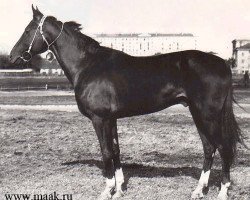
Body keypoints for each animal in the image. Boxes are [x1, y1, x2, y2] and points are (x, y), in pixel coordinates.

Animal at [9, 5, 244, 200]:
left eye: (28, 30)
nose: (12, 57)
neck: (88, 64)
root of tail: (222, 63)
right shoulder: (111, 119)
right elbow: (115, 150)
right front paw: (119, 189)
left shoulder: (99, 119)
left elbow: (106, 151)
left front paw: (107, 190)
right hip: (198, 114)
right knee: (208, 148)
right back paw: (198, 191)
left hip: (208, 115)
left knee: (223, 147)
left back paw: (222, 191)